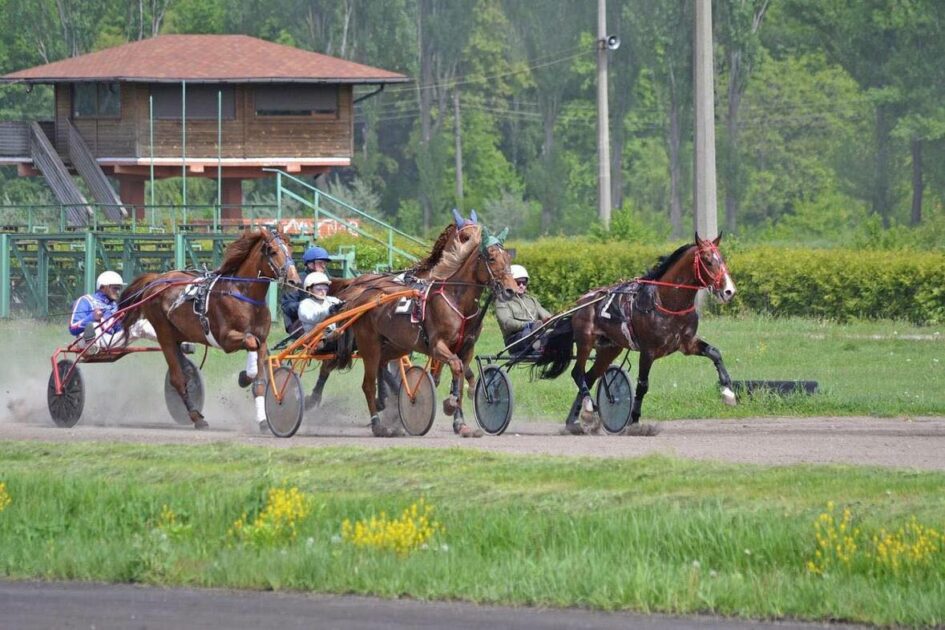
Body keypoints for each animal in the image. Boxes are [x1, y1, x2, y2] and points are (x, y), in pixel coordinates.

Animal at [118, 230, 296, 432]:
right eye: (273, 251)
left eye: (290, 249)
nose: (293, 279)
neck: (244, 294)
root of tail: (156, 280)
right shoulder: (226, 339)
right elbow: (251, 342)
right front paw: (246, 376)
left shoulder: (263, 338)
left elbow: (258, 377)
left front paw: (263, 419)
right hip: (164, 334)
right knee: (177, 378)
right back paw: (196, 417)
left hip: (179, 334)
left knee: (186, 370)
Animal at [330, 222, 516, 440]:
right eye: (492, 258)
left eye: (509, 258)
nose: (512, 290)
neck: (457, 300)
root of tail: (362, 296)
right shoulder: (437, 346)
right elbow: (455, 367)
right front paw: (448, 404)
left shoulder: (467, 349)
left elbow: (461, 377)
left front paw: (461, 423)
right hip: (370, 346)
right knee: (368, 384)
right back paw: (378, 425)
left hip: (396, 345)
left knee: (382, 365)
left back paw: (384, 403)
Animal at [536, 235, 732, 436]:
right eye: (708, 261)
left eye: (722, 259)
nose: (729, 291)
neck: (666, 302)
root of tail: (581, 301)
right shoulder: (648, 351)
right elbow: (643, 384)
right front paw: (635, 421)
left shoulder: (687, 344)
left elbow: (715, 353)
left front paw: (728, 392)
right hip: (586, 341)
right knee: (578, 373)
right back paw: (588, 408)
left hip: (609, 348)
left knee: (589, 377)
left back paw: (575, 421)